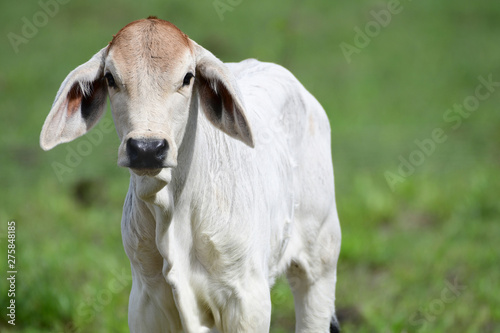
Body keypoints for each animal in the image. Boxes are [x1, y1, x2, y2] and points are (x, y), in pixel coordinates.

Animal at [41, 16, 342, 330]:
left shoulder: (248, 302)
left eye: (187, 77)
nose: (146, 148)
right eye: (111, 78)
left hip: (320, 262)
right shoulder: (145, 302)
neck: (171, 208)